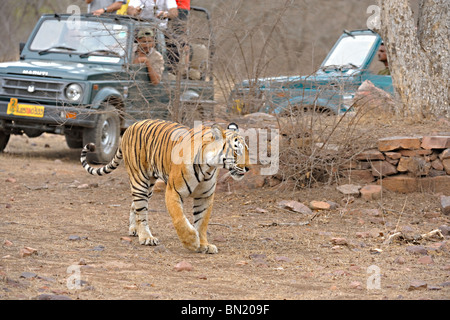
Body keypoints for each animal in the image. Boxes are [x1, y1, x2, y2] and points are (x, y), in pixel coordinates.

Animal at [81, 119, 250, 254]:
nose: (248, 168)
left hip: (149, 185)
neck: (209, 167)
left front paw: (204, 245)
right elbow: (180, 219)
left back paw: (134, 230)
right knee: (141, 212)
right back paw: (146, 237)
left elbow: (202, 223)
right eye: (236, 151)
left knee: (135, 205)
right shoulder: (173, 191)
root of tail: (131, 126)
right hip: (140, 180)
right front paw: (192, 242)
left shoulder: (205, 196)